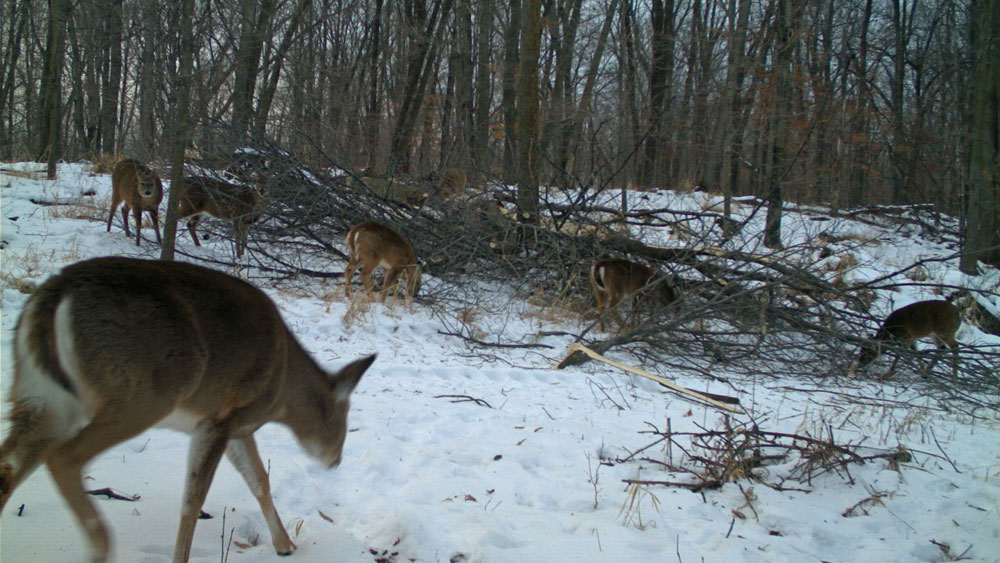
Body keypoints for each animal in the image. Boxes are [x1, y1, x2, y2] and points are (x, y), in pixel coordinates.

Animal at [0, 256, 376, 563]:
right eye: (342, 420)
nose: (336, 460)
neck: (282, 389)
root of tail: (56, 293)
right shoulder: (222, 417)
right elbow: (194, 500)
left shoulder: (237, 427)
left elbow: (259, 480)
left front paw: (285, 546)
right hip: (140, 395)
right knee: (63, 457)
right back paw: (101, 546)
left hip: (40, 394)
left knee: (10, 462)